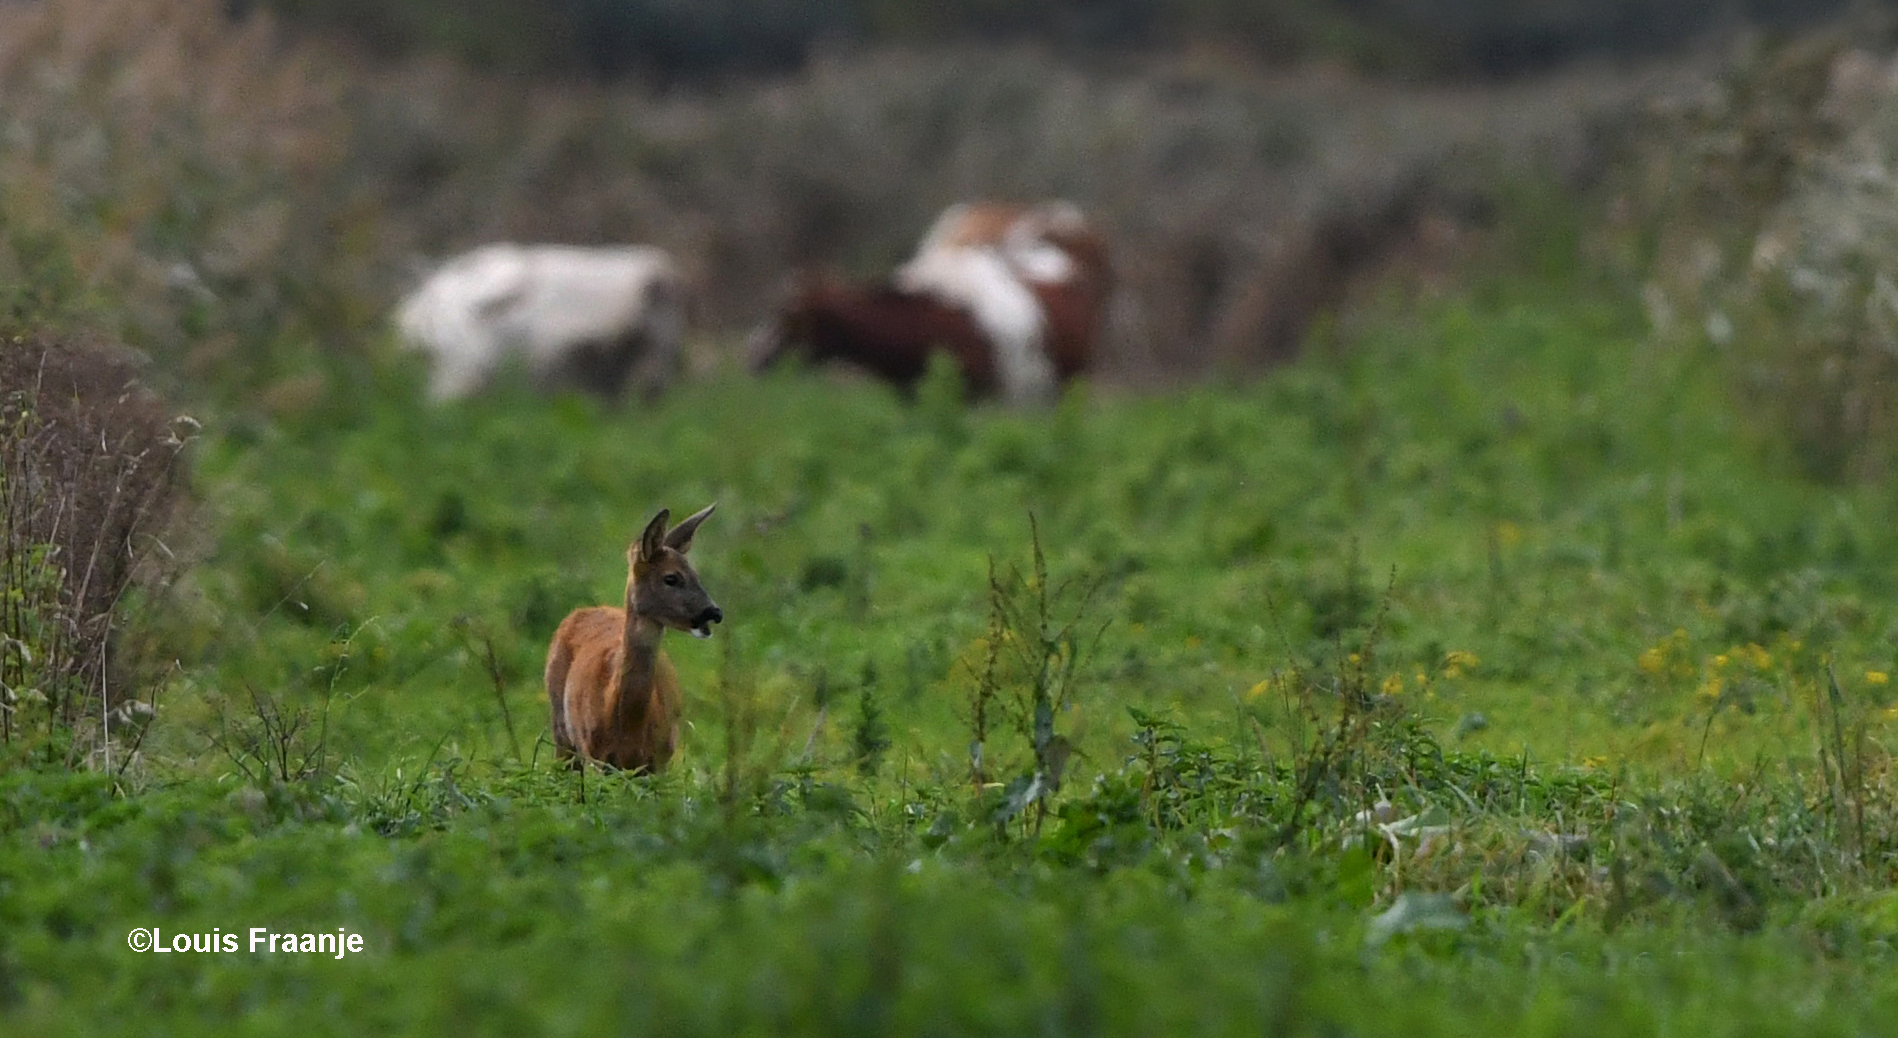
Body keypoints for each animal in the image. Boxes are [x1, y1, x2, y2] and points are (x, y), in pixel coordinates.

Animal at [554, 504, 728, 770]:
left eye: (696, 575)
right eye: (671, 578)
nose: (714, 612)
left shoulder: (660, 758)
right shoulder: (595, 756)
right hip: (560, 729)